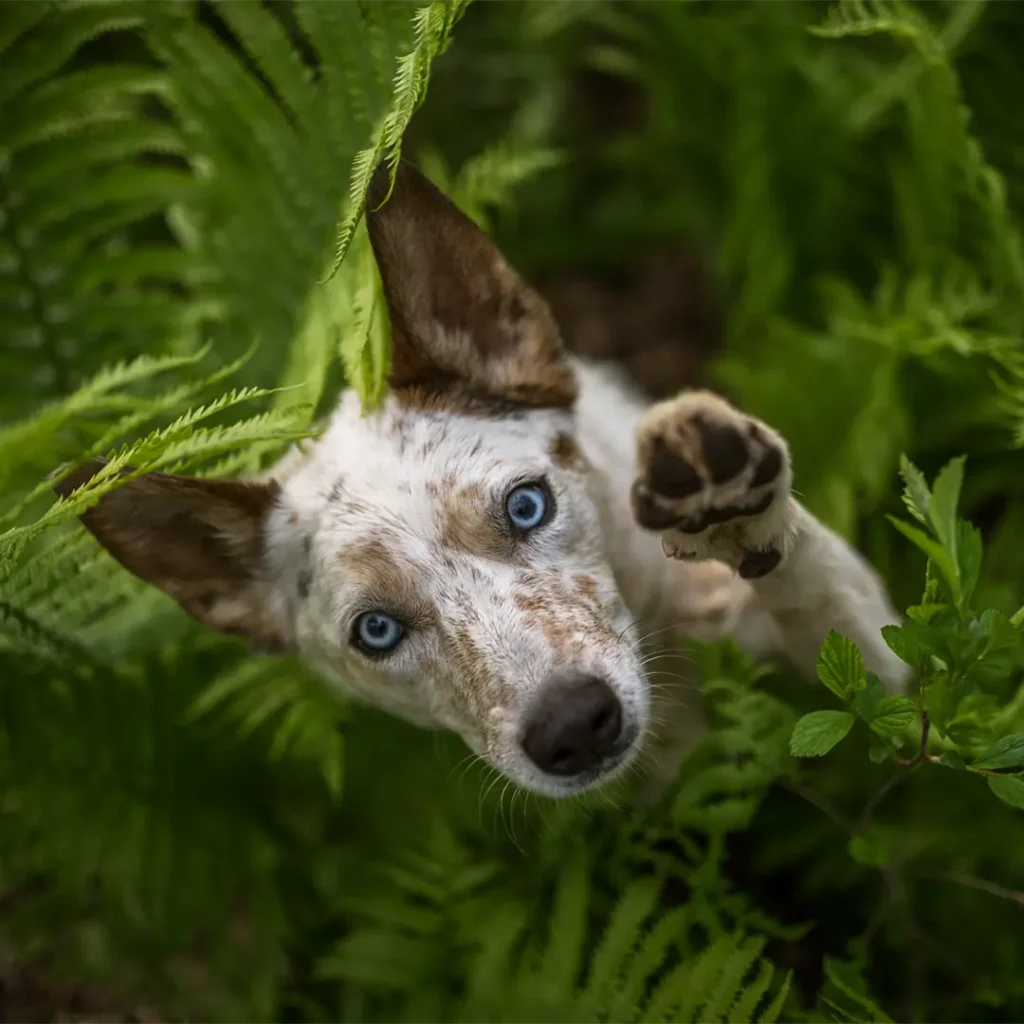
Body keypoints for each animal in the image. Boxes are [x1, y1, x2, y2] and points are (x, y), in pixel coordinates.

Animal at [56, 161, 905, 798]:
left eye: (527, 506)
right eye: (376, 631)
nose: (573, 727)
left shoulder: (886, 672)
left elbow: (819, 597)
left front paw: (730, 507)